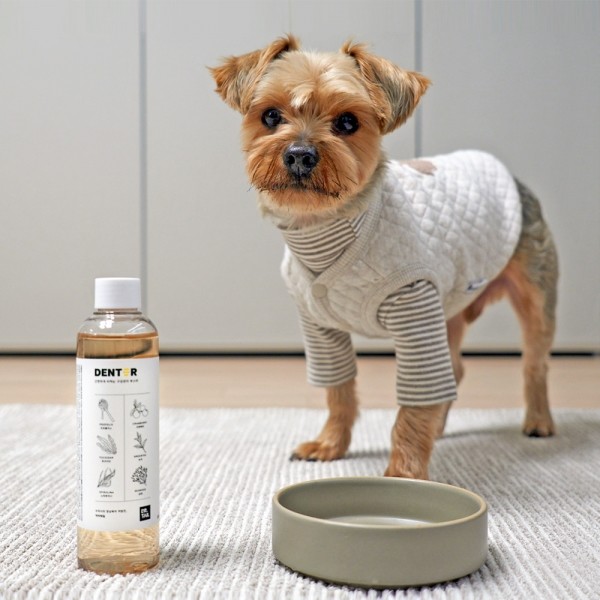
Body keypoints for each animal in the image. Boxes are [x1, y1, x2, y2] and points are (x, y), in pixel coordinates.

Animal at [210, 35, 558, 479]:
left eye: (347, 123)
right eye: (270, 115)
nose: (300, 154)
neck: (326, 228)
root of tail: (507, 174)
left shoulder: (414, 309)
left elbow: (412, 405)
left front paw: (404, 474)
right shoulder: (319, 325)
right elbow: (339, 391)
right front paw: (330, 444)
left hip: (534, 293)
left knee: (534, 361)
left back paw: (539, 421)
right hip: (447, 304)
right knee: (454, 368)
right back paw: (440, 428)